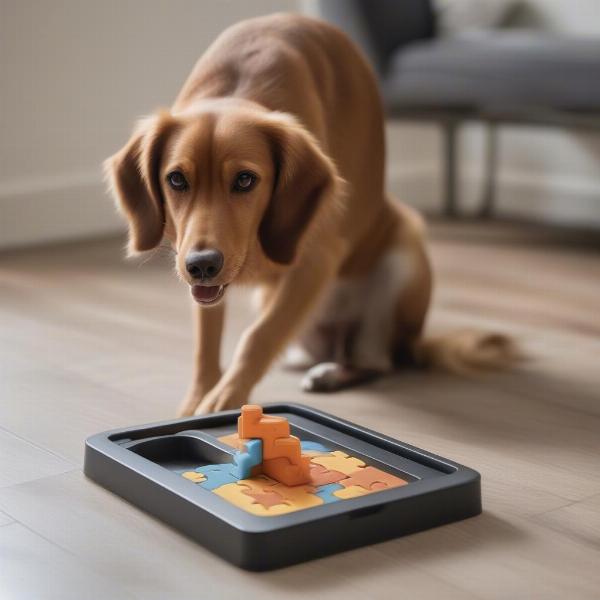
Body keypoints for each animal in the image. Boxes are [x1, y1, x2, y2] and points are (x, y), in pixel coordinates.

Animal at [105, 15, 512, 418]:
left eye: (245, 179)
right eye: (176, 179)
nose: (202, 265)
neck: (238, 86)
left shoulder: (317, 260)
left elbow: (258, 337)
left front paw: (225, 399)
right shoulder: (200, 276)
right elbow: (207, 343)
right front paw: (198, 399)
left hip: (403, 257)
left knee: (377, 363)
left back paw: (334, 373)